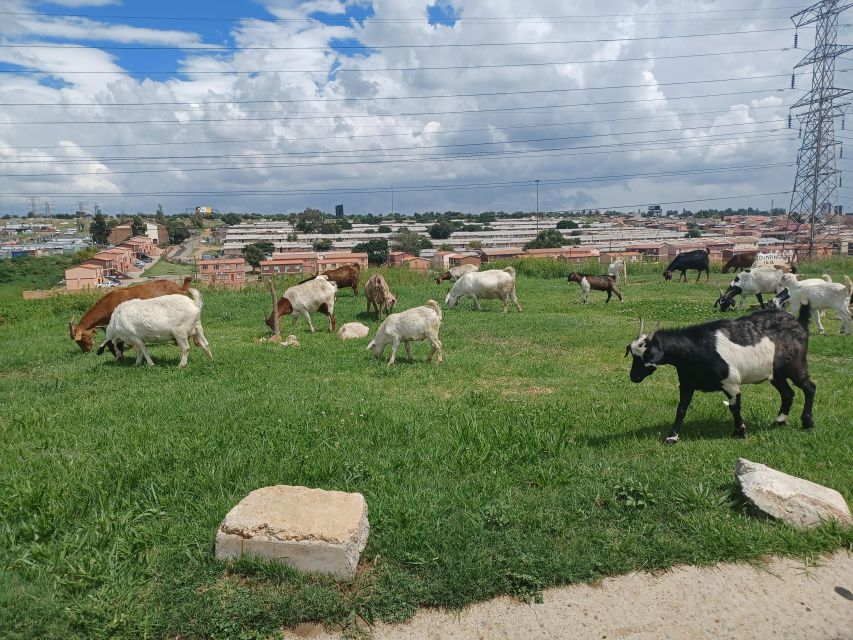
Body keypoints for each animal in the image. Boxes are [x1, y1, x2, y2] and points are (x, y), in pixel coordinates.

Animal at [624, 306, 820, 444]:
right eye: (633, 354)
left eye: (647, 355)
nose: (634, 377)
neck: (695, 349)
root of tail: (799, 323)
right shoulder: (687, 383)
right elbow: (681, 409)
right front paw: (672, 437)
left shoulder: (730, 383)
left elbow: (735, 407)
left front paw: (740, 431)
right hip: (775, 372)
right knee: (788, 393)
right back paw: (779, 421)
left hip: (796, 365)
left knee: (809, 387)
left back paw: (807, 423)